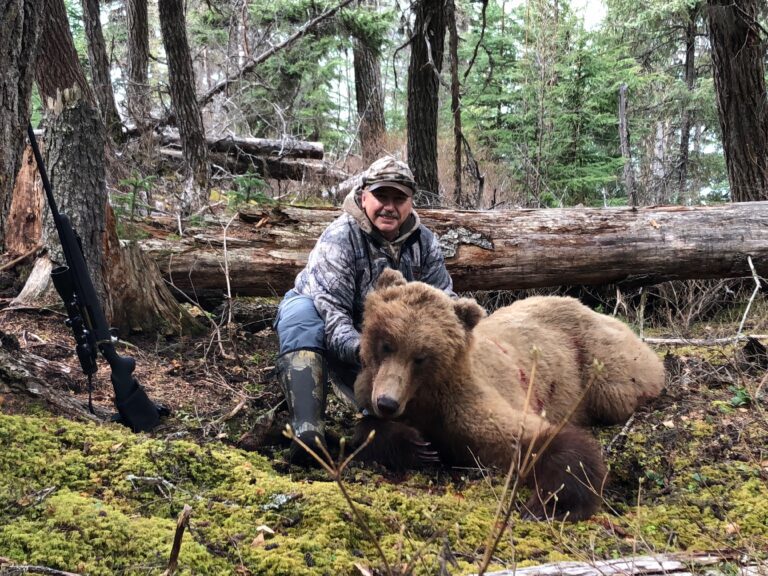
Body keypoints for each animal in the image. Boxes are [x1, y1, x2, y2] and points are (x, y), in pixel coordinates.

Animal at [354, 270, 664, 520]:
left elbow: (539, 440)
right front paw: (417, 445)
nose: (387, 402)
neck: (425, 399)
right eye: (386, 344)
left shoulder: (469, 405)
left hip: (603, 366)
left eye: (421, 357)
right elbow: (367, 432)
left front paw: (547, 505)